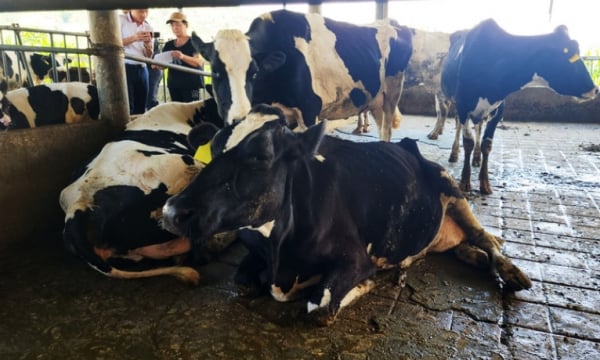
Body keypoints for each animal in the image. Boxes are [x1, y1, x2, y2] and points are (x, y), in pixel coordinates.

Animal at [162, 104, 532, 326]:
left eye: (260, 156)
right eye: (214, 150)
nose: (171, 210)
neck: (279, 251)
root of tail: (405, 144)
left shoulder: (354, 258)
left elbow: (319, 308)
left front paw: (366, 283)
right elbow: (242, 284)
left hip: (449, 185)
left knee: (484, 237)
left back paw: (510, 271)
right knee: (464, 245)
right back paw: (474, 257)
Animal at [192, 8, 412, 141]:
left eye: (253, 73)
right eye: (215, 71)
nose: (238, 117)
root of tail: (390, 24)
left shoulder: (310, 108)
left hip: (393, 92)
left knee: (386, 130)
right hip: (375, 100)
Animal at [438, 19, 596, 194]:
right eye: (570, 57)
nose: (595, 89)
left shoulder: (498, 109)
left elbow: (487, 145)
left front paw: (485, 183)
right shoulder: (464, 105)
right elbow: (468, 142)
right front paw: (465, 181)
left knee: (478, 127)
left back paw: (477, 158)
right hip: (456, 102)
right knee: (459, 126)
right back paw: (454, 154)